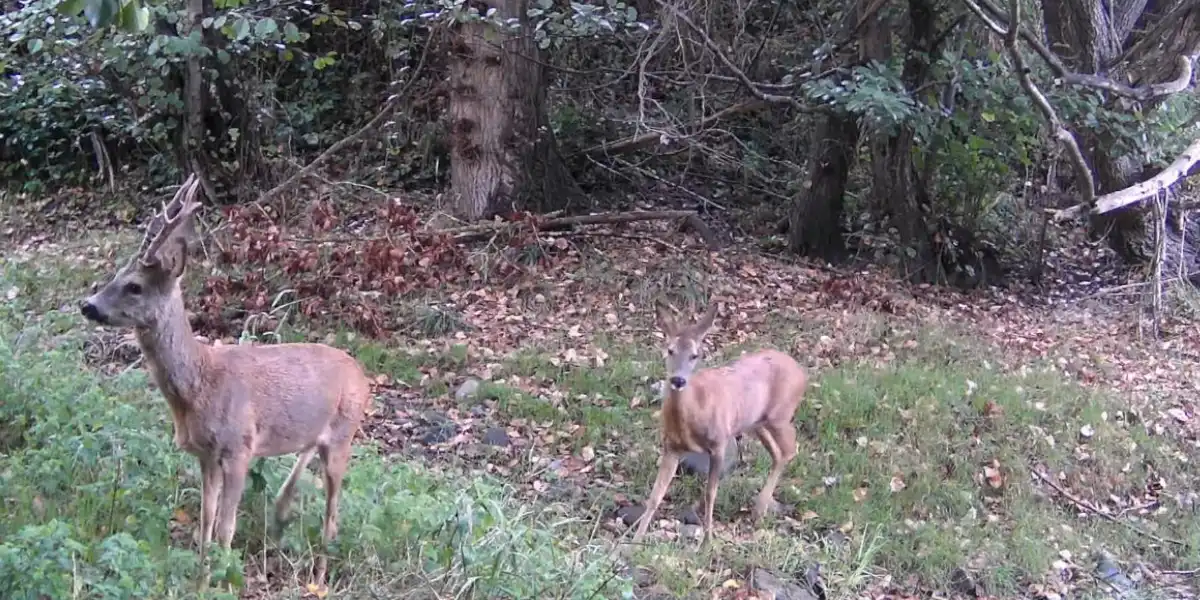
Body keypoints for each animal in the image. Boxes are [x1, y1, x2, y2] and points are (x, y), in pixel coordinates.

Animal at [79, 175, 369, 585]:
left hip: (344, 436)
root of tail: (364, 375)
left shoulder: (239, 447)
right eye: (116, 275)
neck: (199, 386)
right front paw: (200, 580)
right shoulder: (205, 453)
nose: (87, 305)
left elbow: (225, 527)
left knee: (332, 515)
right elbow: (205, 522)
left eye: (135, 286)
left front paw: (224, 580)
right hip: (315, 438)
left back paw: (319, 579)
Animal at [628, 302, 806, 547]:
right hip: (756, 422)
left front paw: (708, 540)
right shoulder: (671, 446)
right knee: (778, 453)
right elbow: (656, 494)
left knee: (790, 449)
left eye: (695, 355)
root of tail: (802, 372)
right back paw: (758, 509)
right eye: (670, 350)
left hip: (780, 416)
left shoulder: (719, 443)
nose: (678, 380)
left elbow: (710, 492)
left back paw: (760, 508)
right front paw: (635, 539)